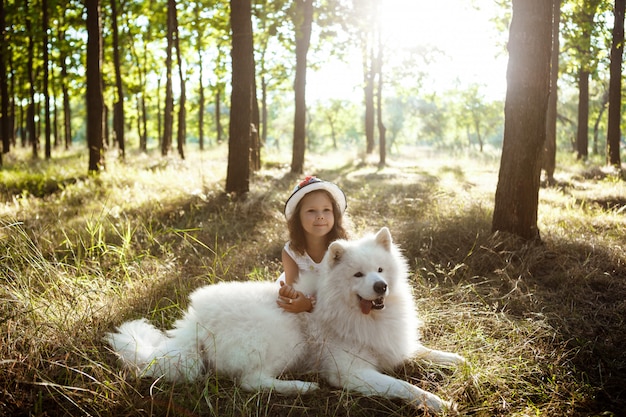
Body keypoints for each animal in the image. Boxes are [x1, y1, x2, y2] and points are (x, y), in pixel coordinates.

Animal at [105, 228, 460, 412]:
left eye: (381, 270)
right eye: (358, 275)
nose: (381, 286)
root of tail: (194, 322)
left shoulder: (393, 345)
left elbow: (425, 352)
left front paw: (457, 360)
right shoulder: (351, 373)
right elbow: (403, 386)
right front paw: (439, 402)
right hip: (285, 335)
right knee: (251, 381)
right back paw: (302, 387)